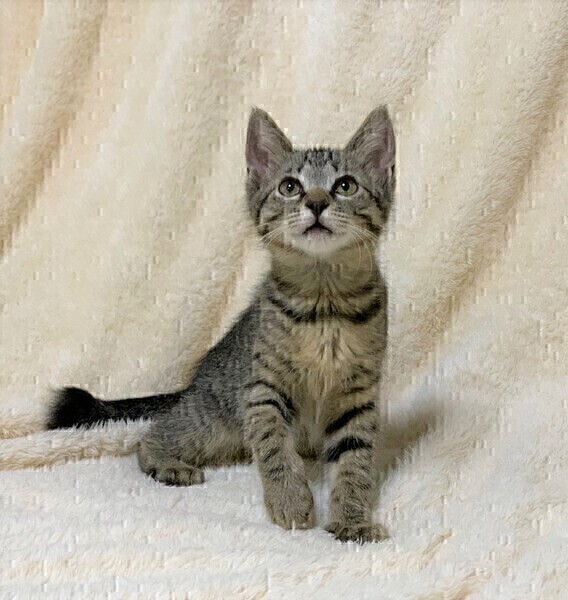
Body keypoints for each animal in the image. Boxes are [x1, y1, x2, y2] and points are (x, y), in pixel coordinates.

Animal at [46, 106, 396, 543]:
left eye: (345, 186)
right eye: (290, 187)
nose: (316, 203)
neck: (324, 304)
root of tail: (191, 387)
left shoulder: (357, 397)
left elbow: (355, 463)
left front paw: (351, 520)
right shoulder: (262, 390)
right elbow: (275, 448)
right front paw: (290, 502)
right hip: (209, 421)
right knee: (150, 436)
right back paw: (169, 464)